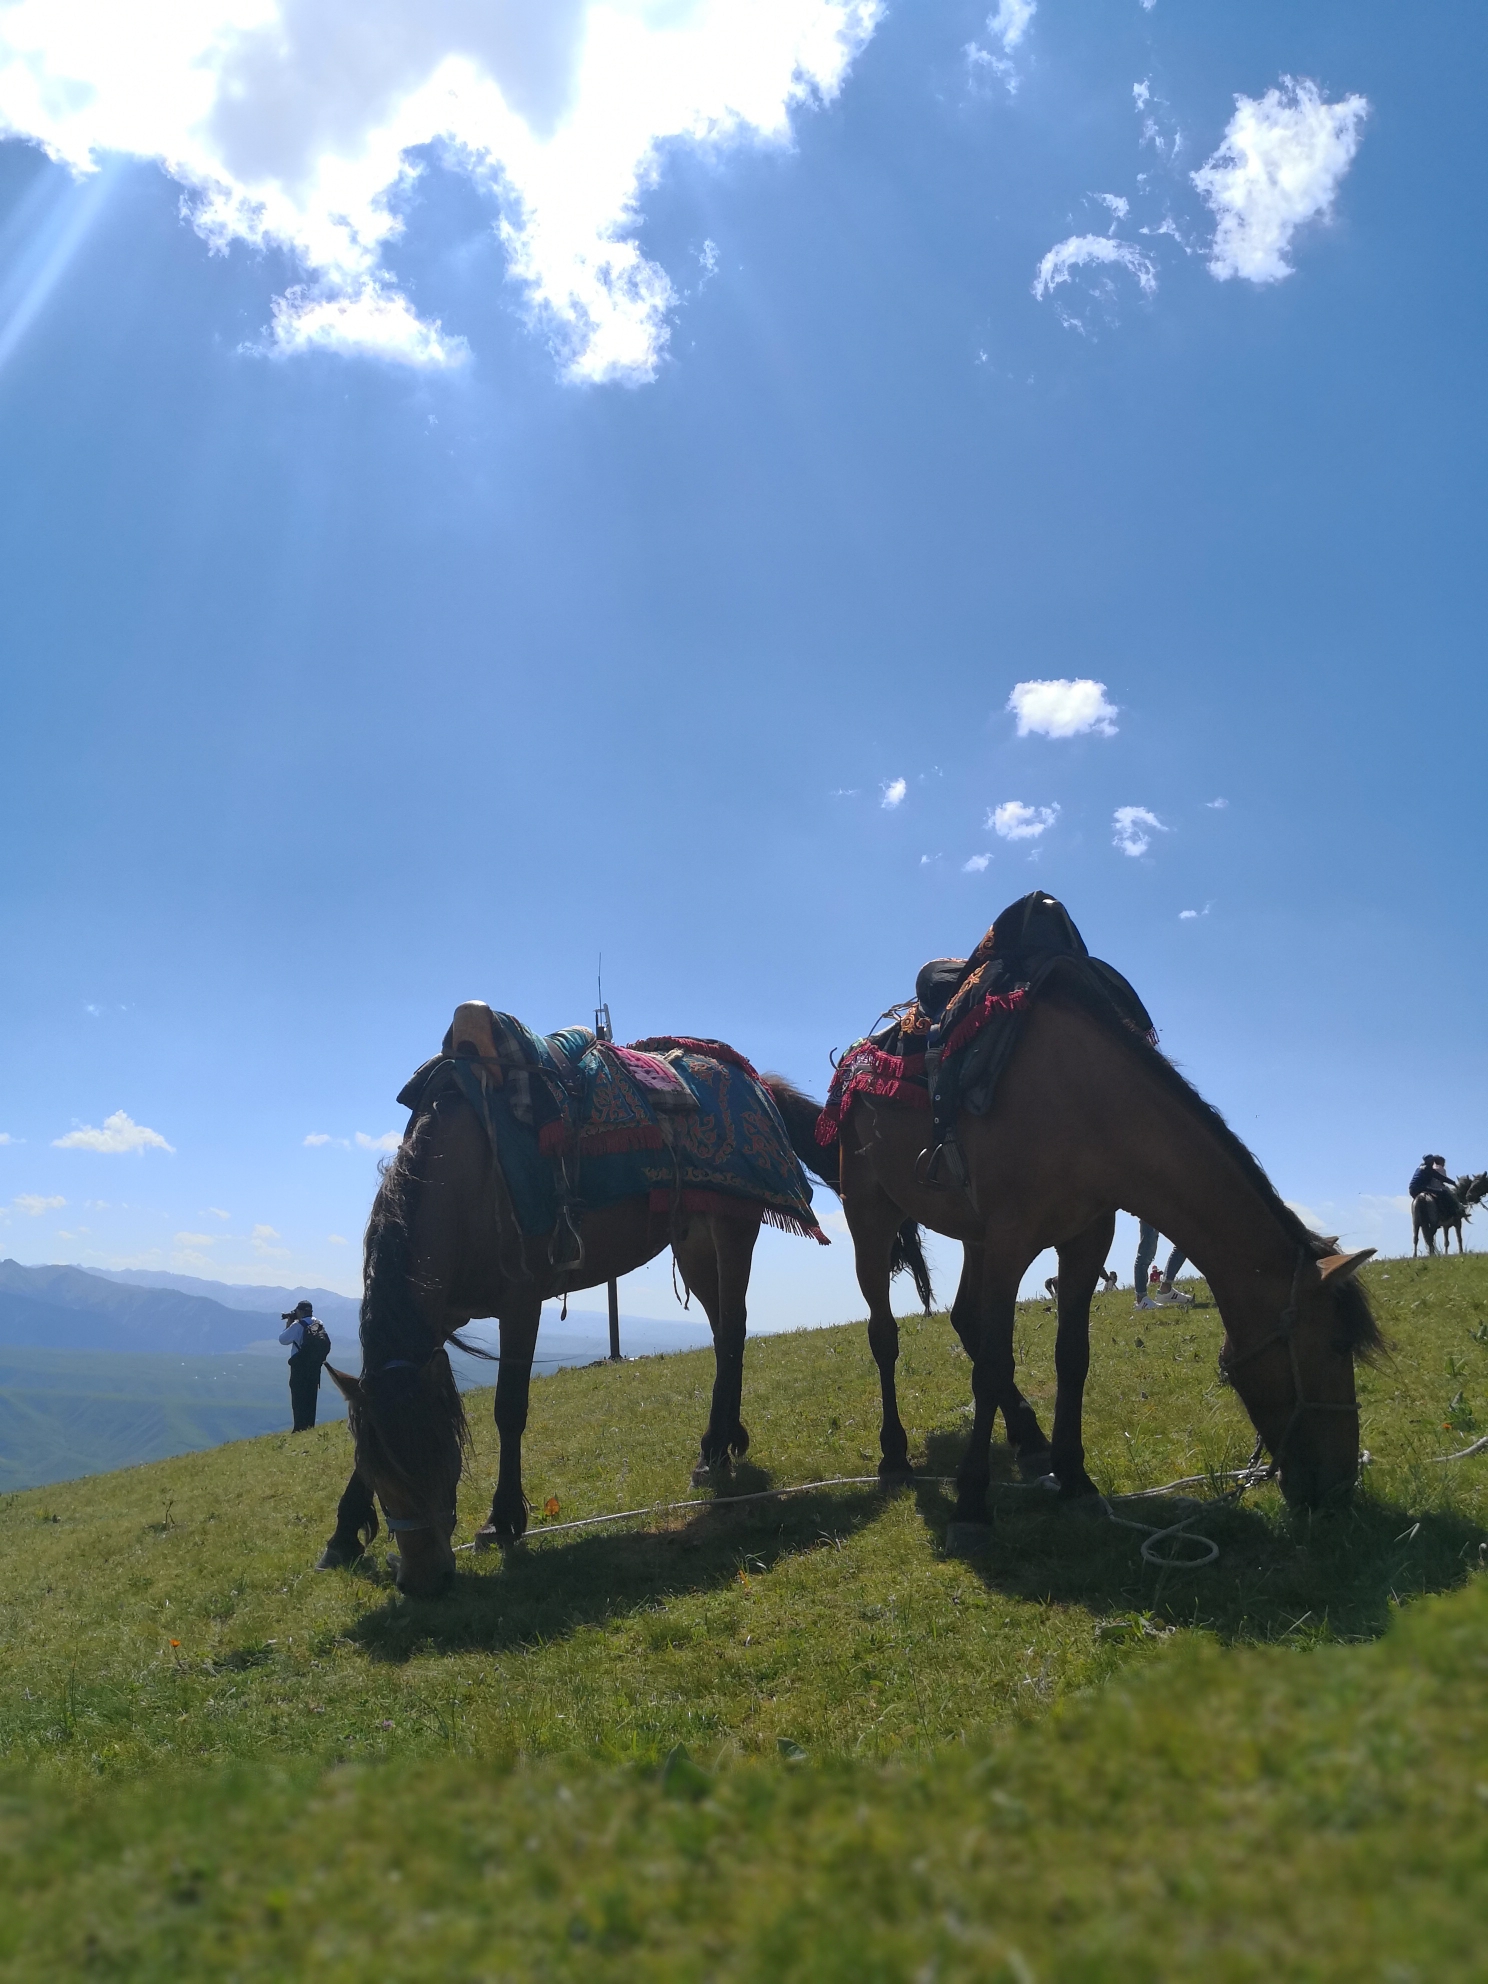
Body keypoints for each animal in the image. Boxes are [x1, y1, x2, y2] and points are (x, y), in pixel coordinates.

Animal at [317, 1039, 932, 1595]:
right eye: (384, 1473)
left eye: (442, 1460)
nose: (423, 1580)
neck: (466, 1177)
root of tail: (753, 1081)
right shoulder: (436, 1317)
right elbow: (367, 1423)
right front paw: (342, 1536)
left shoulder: (521, 1302)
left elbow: (508, 1409)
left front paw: (503, 1519)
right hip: (693, 1238)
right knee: (722, 1335)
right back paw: (721, 1442)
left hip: (733, 1228)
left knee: (733, 1332)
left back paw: (716, 1451)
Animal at [817, 968, 1388, 1523]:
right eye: (1337, 1345)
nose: (1341, 1487)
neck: (1086, 1104)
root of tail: (856, 1064)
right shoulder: (1009, 1244)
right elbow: (993, 1365)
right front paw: (973, 1499)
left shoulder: (1085, 1239)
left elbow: (1072, 1356)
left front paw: (1075, 1478)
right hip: (871, 1216)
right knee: (885, 1336)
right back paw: (895, 1457)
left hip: (972, 1236)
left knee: (963, 1318)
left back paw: (1031, 1440)